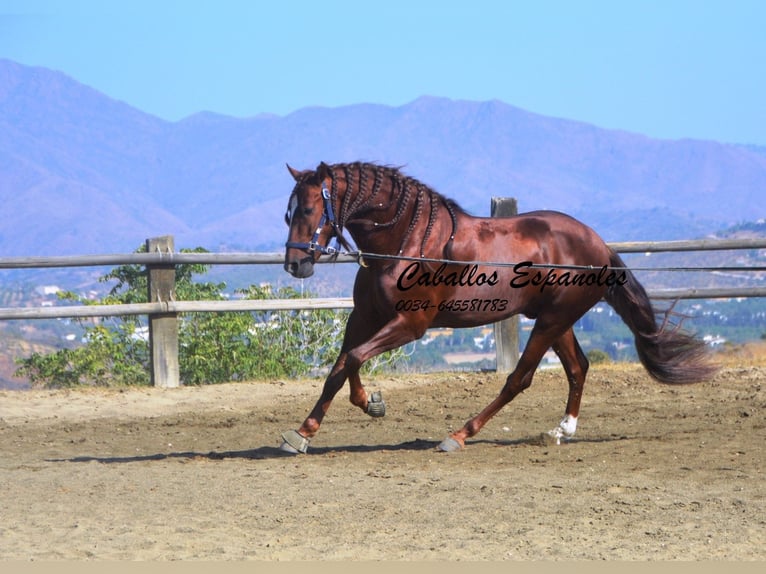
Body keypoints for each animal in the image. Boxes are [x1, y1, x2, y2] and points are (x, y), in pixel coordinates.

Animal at [282, 161, 720, 454]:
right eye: (289, 212)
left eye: (308, 210)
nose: (295, 264)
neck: (404, 242)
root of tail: (598, 245)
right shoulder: (364, 318)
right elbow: (340, 367)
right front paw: (304, 431)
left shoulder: (410, 323)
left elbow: (355, 359)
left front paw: (371, 403)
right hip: (555, 321)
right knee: (578, 368)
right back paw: (560, 431)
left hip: (552, 320)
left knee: (519, 378)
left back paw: (460, 435)